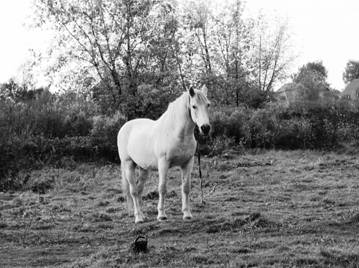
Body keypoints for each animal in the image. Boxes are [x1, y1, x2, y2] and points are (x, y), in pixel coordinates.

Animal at [118, 85, 211, 223]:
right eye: (194, 106)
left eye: (208, 105)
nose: (205, 128)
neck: (176, 134)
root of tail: (125, 126)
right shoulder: (163, 164)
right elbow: (162, 188)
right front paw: (161, 215)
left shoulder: (188, 163)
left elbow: (186, 187)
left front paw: (187, 214)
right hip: (128, 164)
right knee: (133, 191)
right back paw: (138, 217)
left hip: (144, 169)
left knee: (139, 190)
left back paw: (143, 215)